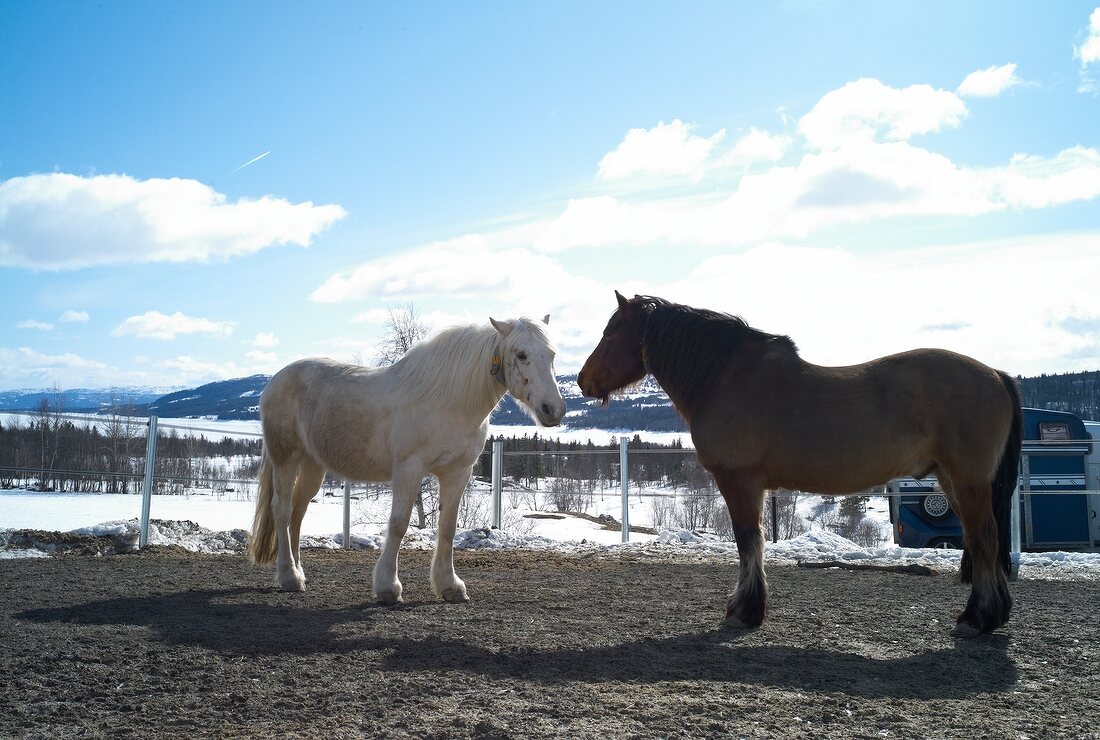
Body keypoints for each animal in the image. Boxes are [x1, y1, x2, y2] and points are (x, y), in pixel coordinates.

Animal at [245, 316, 563, 598]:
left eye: (552, 355)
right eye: (521, 354)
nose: (554, 410)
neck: (449, 401)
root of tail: (275, 381)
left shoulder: (458, 472)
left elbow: (448, 527)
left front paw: (450, 586)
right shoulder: (409, 468)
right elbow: (398, 523)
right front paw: (388, 587)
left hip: (313, 465)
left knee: (298, 512)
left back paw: (299, 574)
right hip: (286, 457)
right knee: (282, 510)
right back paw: (289, 577)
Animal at [580, 292, 1016, 637]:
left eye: (610, 332)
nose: (583, 380)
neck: (722, 376)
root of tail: (996, 375)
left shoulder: (738, 480)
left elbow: (748, 540)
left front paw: (743, 612)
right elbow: (753, 540)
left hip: (968, 482)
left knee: (984, 540)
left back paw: (976, 619)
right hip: (952, 481)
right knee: (982, 542)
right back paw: (990, 615)